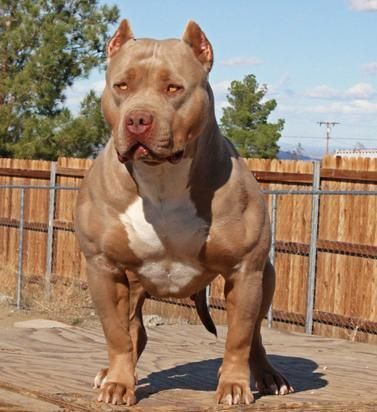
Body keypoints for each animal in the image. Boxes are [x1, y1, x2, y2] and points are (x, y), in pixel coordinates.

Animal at [75, 18, 292, 406]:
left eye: (173, 88)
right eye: (122, 86)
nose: (138, 119)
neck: (162, 178)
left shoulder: (245, 271)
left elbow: (239, 337)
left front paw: (233, 385)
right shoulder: (103, 267)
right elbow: (116, 334)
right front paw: (119, 383)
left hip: (265, 278)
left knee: (254, 336)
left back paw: (268, 376)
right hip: (132, 286)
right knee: (134, 332)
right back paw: (113, 374)